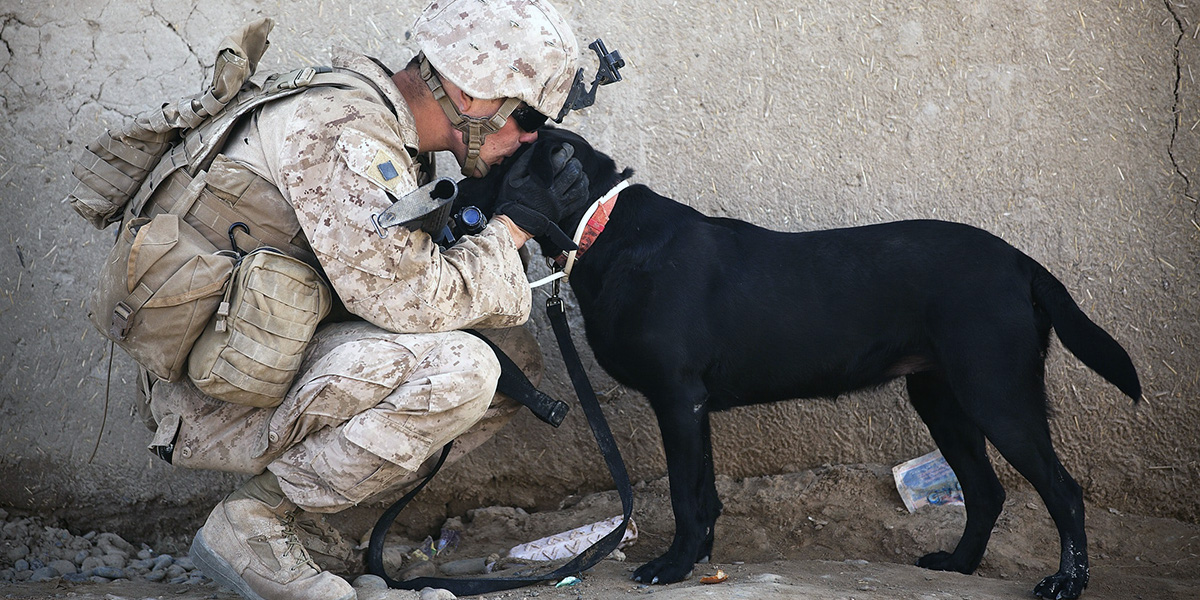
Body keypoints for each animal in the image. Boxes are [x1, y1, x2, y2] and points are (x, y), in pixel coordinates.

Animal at [453, 129, 1137, 597]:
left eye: (498, 166)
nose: (447, 187)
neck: (605, 228)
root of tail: (1020, 261)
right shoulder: (693, 406)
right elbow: (704, 493)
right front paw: (699, 560)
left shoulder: (677, 398)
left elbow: (683, 494)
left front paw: (673, 566)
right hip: (940, 397)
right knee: (988, 491)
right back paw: (959, 566)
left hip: (997, 393)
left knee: (1063, 492)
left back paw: (1065, 583)